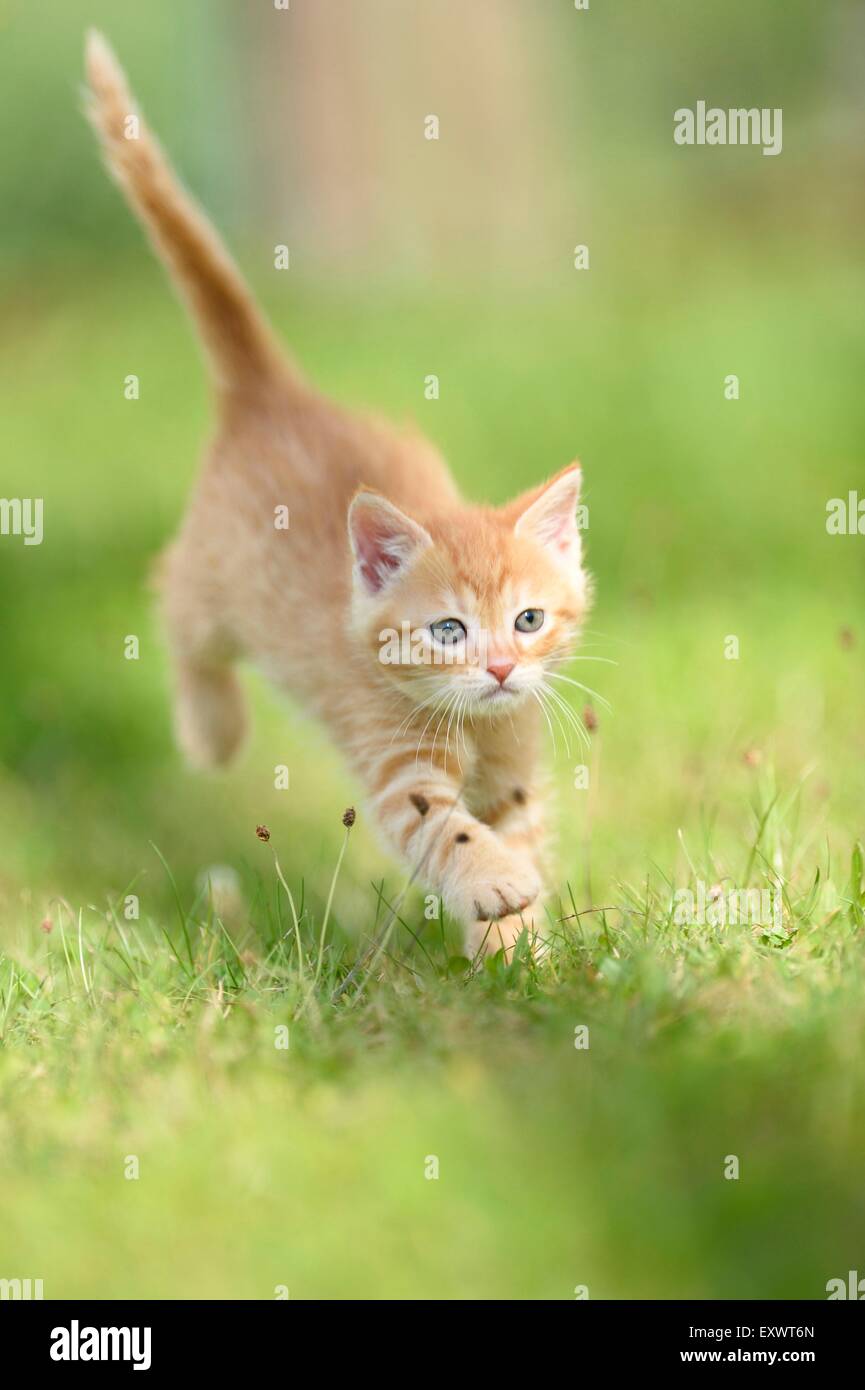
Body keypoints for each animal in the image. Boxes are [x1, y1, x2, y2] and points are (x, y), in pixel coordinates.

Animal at [84, 38, 592, 961]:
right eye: (448, 631)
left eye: (528, 621)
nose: (502, 668)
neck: (474, 727)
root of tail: (273, 396)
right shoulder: (398, 770)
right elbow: (446, 828)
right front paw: (495, 891)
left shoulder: (512, 770)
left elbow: (515, 829)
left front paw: (520, 954)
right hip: (212, 585)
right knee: (174, 607)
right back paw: (211, 732)